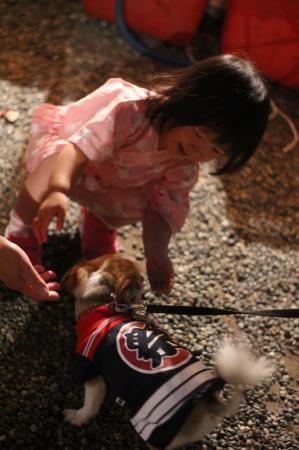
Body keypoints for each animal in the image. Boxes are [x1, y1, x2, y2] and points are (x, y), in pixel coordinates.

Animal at [62, 255, 276, 448]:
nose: (144, 279)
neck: (105, 305)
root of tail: (210, 402)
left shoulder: (91, 371)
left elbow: (89, 405)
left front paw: (77, 416)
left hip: (152, 427)